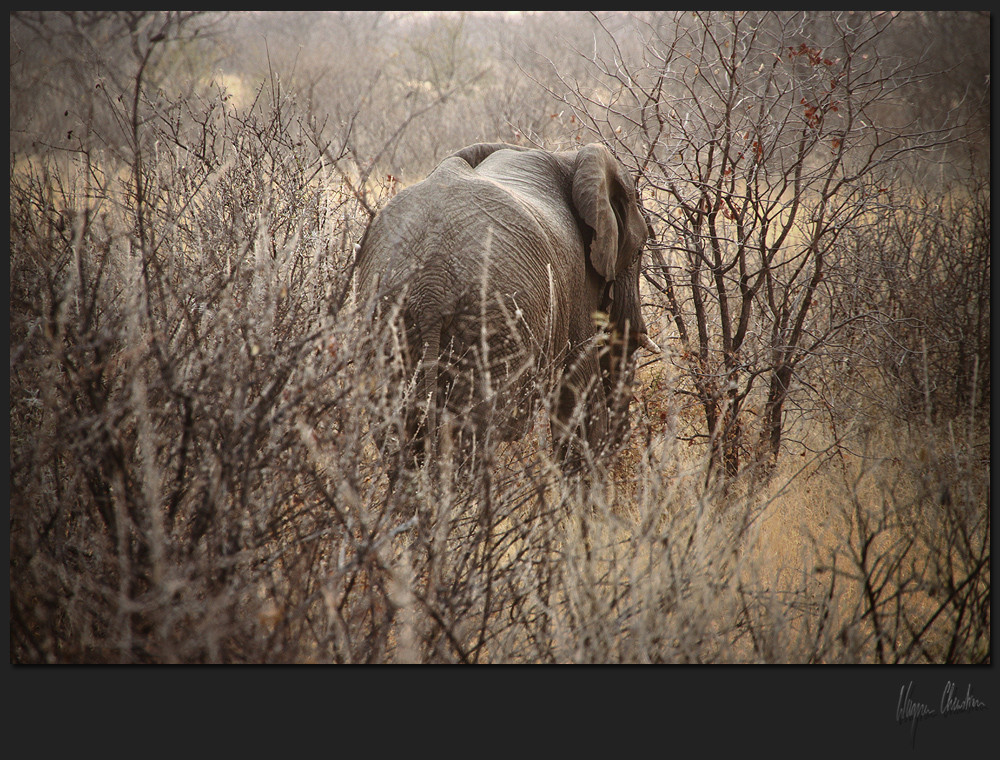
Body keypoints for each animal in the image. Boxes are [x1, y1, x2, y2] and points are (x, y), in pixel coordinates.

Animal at [356, 140, 660, 466]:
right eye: (639, 252)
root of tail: (431, 287)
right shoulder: (577, 283)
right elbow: (579, 402)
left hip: (386, 323)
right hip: (491, 327)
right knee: (473, 438)